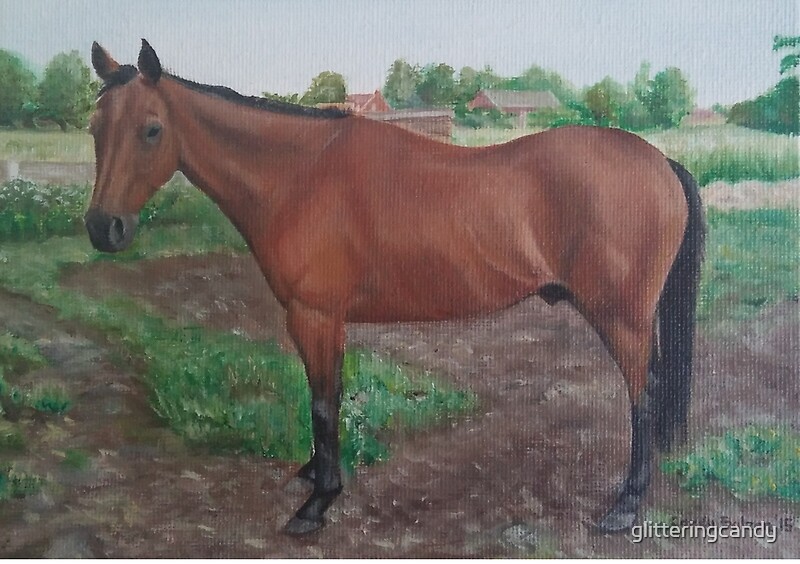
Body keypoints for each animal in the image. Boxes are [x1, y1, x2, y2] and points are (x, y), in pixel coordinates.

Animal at [85, 40, 704, 536]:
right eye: (95, 128)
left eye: (151, 129)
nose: (102, 228)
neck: (300, 174)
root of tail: (660, 161)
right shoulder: (321, 319)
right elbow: (324, 396)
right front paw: (312, 476)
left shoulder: (315, 315)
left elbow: (323, 401)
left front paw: (318, 503)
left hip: (621, 317)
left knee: (643, 395)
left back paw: (625, 507)